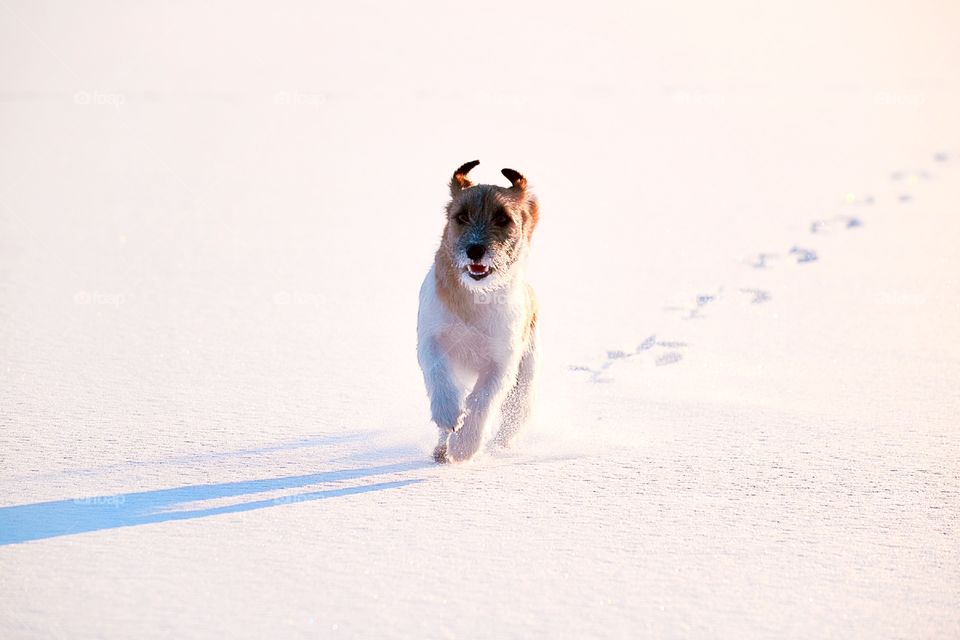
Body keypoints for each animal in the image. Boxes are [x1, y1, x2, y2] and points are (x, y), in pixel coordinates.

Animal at [416, 158, 540, 462]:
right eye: (461, 216)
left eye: (503, 218)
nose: (475, 250)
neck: (475, 298)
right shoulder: (432, 338)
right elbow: (439, 372)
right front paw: (448, 414)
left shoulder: (501, 361)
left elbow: (483, 398)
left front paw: (465, 444)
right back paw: (441, 449)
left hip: (524, 383)